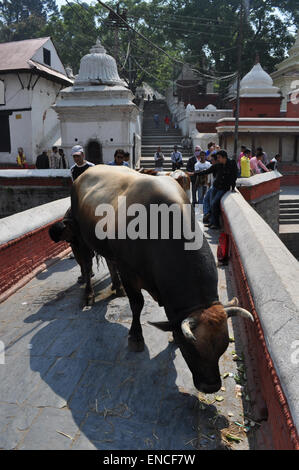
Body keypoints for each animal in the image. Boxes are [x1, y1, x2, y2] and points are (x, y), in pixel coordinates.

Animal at [59, 165, 254, 392]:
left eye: (223, 346)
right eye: (191, 350)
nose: (212, 386)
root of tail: (85, 173)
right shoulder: (129, 272)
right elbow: (137, 304)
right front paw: (135, 337)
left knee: (109, 261)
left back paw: (117, 287)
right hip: (81, 236)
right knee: (87, 265)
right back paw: (89, 295)